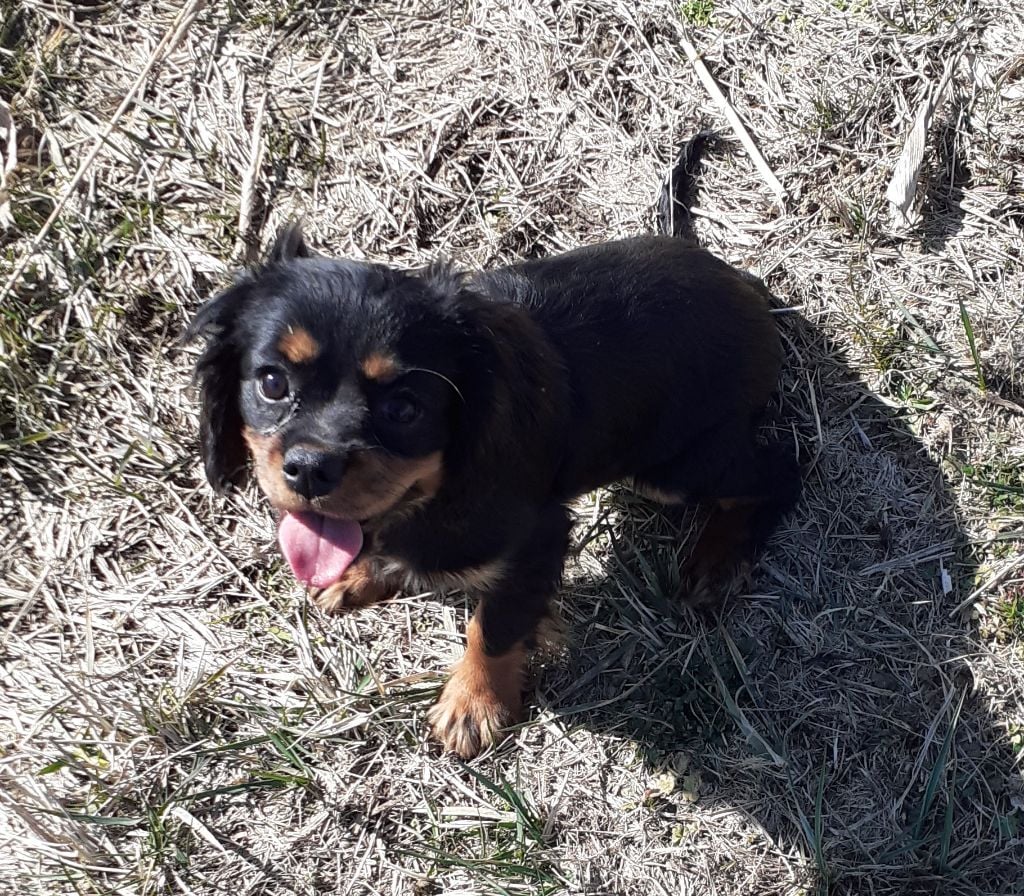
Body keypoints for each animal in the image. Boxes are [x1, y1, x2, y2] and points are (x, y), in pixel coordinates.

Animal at [187, 135, 800, 758]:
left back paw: (717, 559)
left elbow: (494, 625)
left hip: (672, 468)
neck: (435, 490)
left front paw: (473, 705)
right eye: (271, 383)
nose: (311, 469)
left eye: (404, 409)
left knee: (782, 469)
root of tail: (726, 275)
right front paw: (359, 577)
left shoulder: (536, 533)